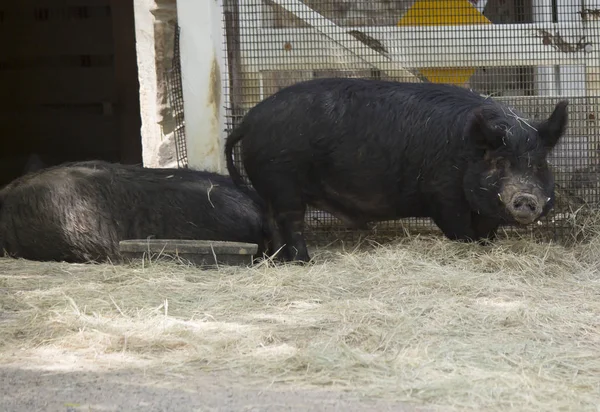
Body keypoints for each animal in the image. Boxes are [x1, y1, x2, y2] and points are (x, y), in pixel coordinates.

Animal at [225, 79, 568, 262]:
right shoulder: (442, 195)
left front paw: (486, 249)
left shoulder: (485, 211)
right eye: (500, 163)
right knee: (290, 221)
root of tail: (248, 120)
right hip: (282, 181)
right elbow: (461, 232)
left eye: (539, 164)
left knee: (272, 222)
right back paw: (305, 261)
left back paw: (277, 261)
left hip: (271, 187)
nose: (526, 198)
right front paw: (469, 249)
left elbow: (487, 233)